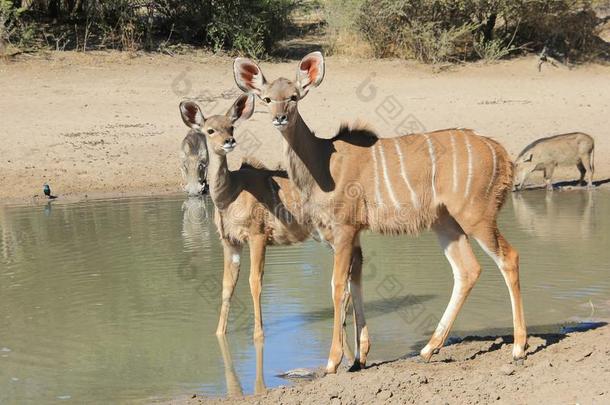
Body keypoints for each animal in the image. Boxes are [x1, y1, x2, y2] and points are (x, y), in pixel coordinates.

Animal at [178, 94, 364, 348]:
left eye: (231, 126)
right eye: (210, 130)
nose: (229, 141)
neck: (231, 194)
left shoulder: (257, 235)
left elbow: (254, 282)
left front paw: (258, 335)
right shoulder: (230, 242)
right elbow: (227, 286)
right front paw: (219, 333)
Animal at [233, 52, 524, 372]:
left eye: (294, 97)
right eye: (267, 98)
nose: (279, 117)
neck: (323, 163)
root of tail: (503, 155)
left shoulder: (345, 228)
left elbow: (338, 286)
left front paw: (333, 362)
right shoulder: (354, 234)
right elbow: (355, 282)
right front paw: (359, 358)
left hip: (476, 215)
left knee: (508, 258)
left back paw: (519, 348)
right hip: (445, 223)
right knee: (467, 270)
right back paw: (428, 349)